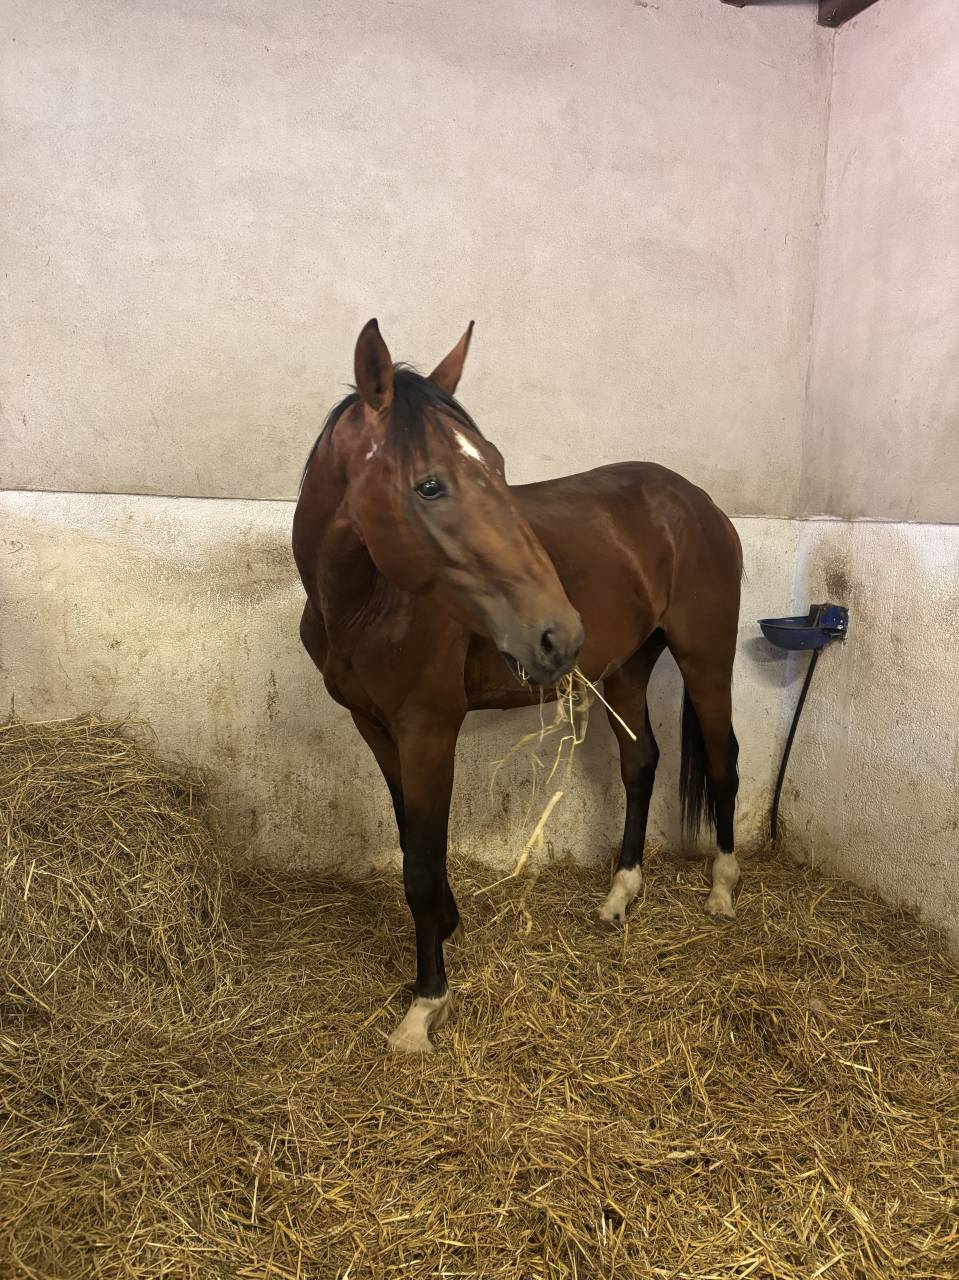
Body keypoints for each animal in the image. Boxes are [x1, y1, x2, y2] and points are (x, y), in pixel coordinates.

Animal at [292, 320, 742, 1053]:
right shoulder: (376, 728)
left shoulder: (428, 730)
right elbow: (411, 842)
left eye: (499, 468)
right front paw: (443, 932)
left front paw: (426, 1003)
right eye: (429, 485)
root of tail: (697, 503)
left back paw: (723, 889)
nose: (558, 633)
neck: (367, 604)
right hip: (624, 668)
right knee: (640, 762)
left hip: (706, 659)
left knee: (724, 762)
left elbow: (421, 866)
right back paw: (620, 892)